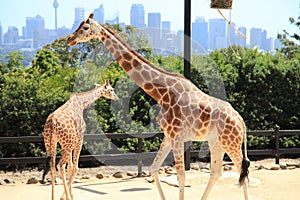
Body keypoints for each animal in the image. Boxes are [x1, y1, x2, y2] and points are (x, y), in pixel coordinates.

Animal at [66, 13, 251, 199]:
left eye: (85, 28)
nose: (69, 39)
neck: (163, 94)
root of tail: (242, 122)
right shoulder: (168, 136)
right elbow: (154, 169)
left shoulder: (177, 137)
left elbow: (181, 176)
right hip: (216, 142)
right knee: (217, 172)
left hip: (230, 142)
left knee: (241, 171)